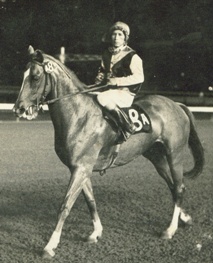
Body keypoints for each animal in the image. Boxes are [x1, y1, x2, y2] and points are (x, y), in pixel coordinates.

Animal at [12, 46, 204, 260]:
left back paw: (170, 230)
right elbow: (90, 200)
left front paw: (50, 246)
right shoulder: (81, 168)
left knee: (178, 187)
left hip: (174, 155)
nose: (19, 109)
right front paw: (96, 232)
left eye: (35, 77)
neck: (79, 115)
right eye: (23, 75)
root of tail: (177, 105)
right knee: (173, 187)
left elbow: (65, 205)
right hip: (156, 156)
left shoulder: (81, 168)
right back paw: (185, 219)